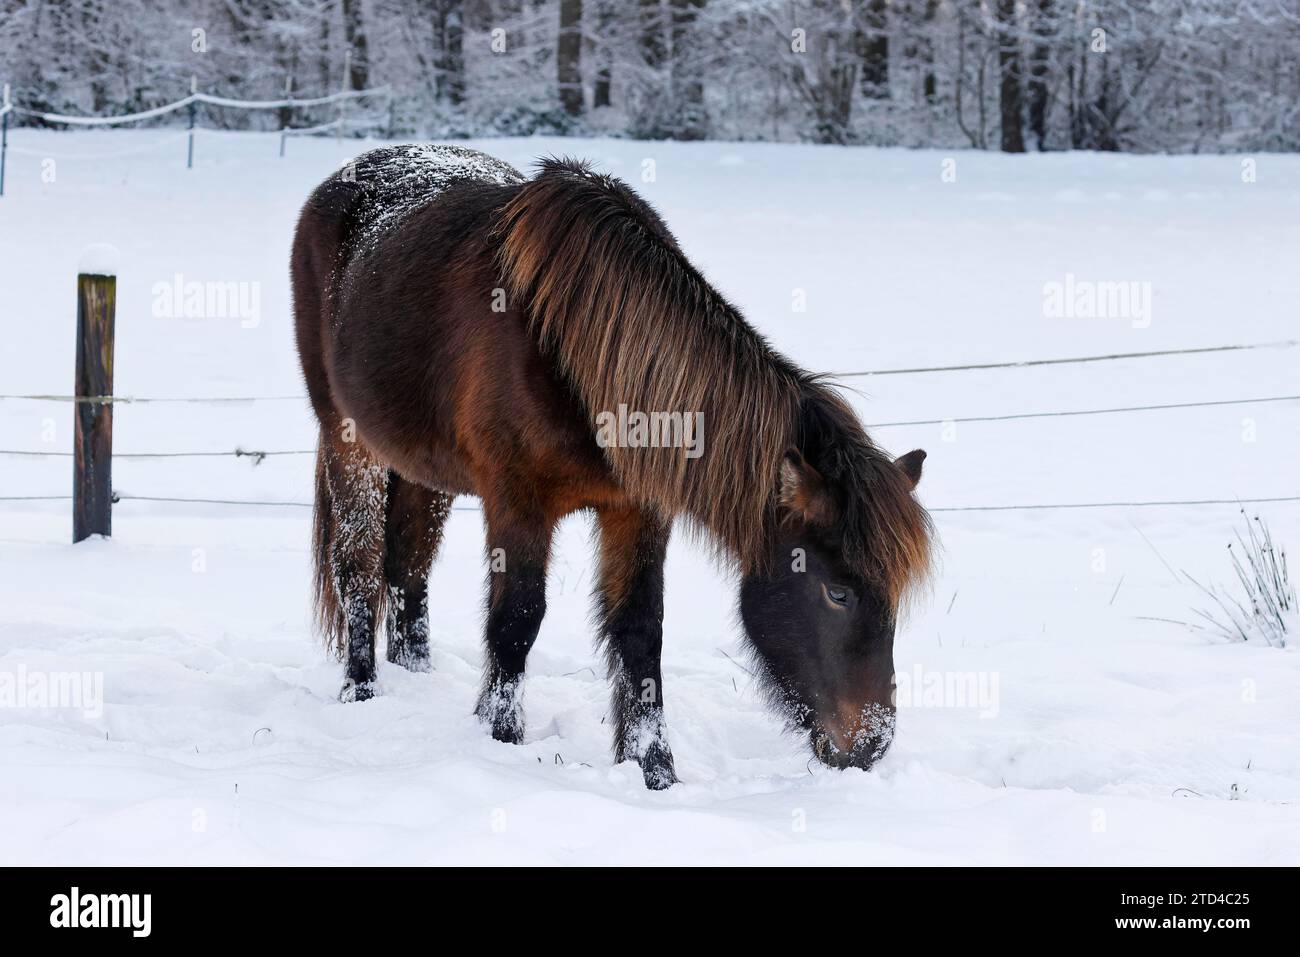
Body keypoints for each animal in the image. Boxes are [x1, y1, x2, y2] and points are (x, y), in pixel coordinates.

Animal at [292, 141, 935, 785]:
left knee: (408, 570)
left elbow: (639, 634)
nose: (869, 745)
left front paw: (656, 772)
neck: (576, 351)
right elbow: (516, 621)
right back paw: (361, 692)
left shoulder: (638, 510)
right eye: (838, 593)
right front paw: (502, 741)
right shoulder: (516, 503)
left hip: (426, 472)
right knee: (359, 570)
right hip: (350, 444)